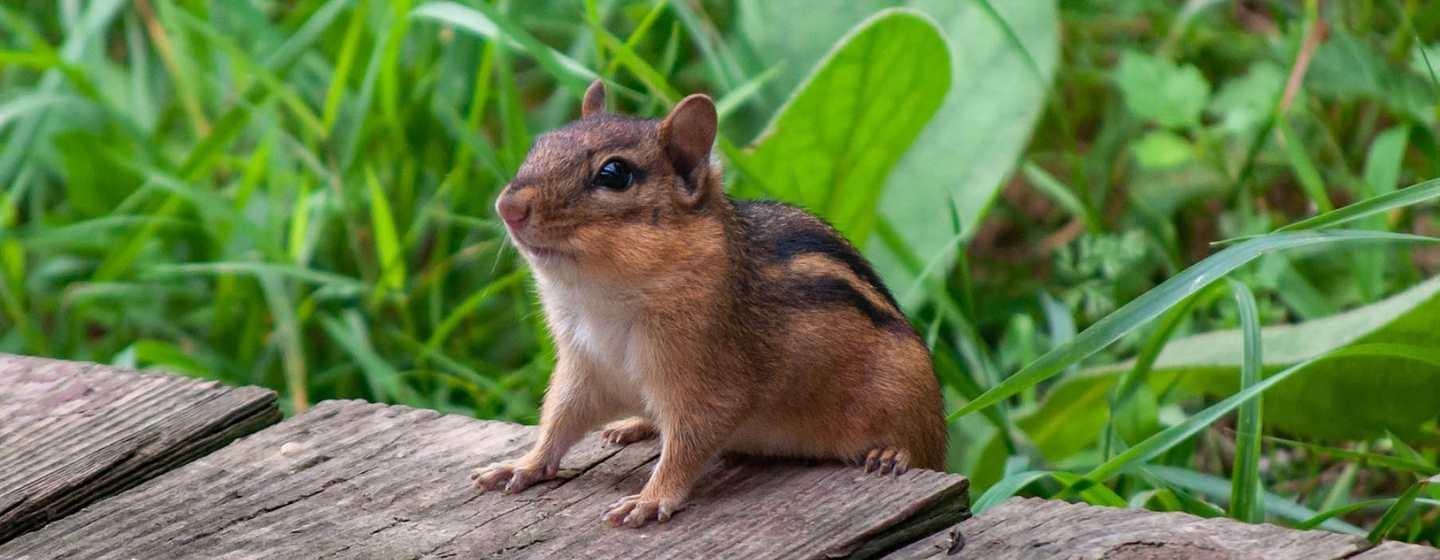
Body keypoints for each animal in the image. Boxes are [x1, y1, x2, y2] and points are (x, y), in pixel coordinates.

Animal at [472, 80, 946, 528]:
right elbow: (558, 420)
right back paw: (632, 425)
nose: (507, 206)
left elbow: (689, 444)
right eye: (539, 145)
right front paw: (521, 465)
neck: (602, 299)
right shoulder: (582, 367)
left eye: (614, 173)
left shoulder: (710, 382)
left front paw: (650, 499)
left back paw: (890, 455)